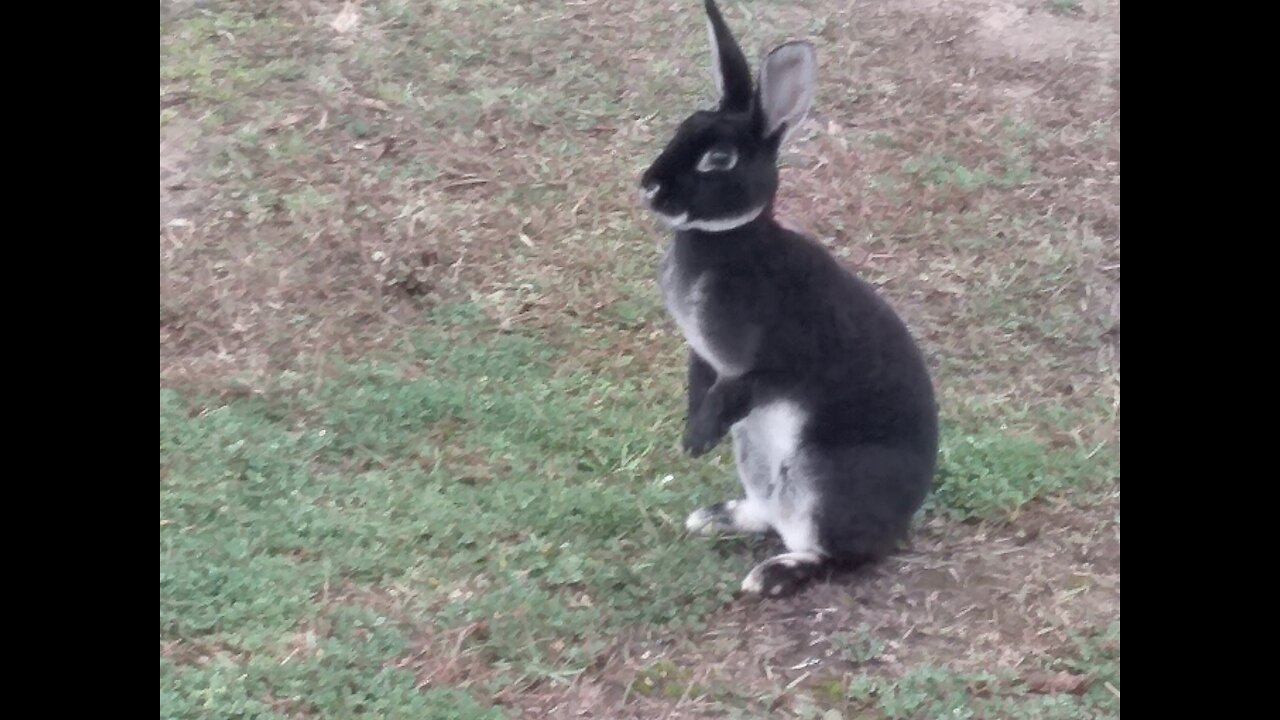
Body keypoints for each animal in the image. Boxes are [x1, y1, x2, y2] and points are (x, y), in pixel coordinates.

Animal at [640, 0, 942, 594]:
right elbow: (699, 386)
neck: (731, 240)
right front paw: (690, 436)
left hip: (821, 479)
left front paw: (695, 442)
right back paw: (714, 518)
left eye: (718, 159)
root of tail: (900, 522)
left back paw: (770, 577)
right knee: (770, 513)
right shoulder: (703, 357)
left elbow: (738, 390)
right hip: (757, 457)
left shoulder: (770, 364)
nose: (650, 186)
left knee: (830, 553)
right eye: (683, 127)